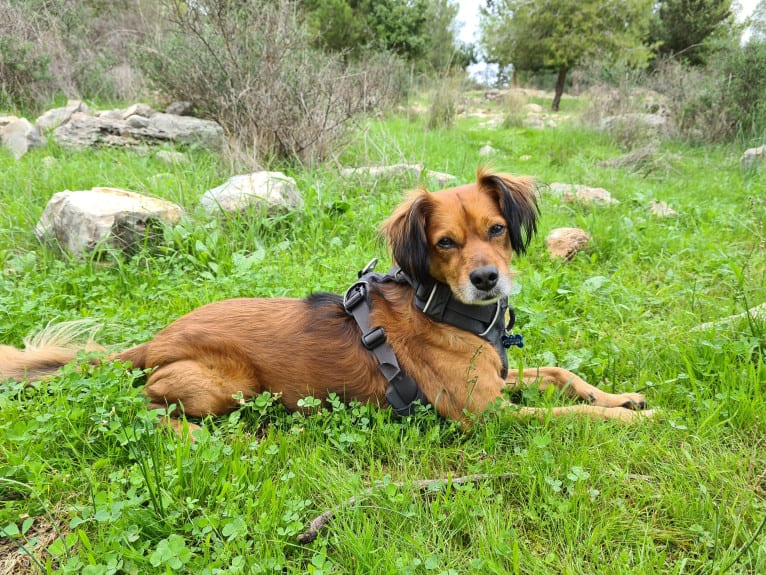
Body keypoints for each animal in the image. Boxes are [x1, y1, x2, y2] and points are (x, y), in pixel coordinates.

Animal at [0, 166, 656, 428]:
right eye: (445, 242)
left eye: (496, 230)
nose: (487, 280)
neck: (449, 311)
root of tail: (154, 340)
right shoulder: (485, 415)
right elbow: (572, 416)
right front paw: (628, 420)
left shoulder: (500, 380)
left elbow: (561, 375)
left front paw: (623, 397)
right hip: (226, 386)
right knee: (149, 406)